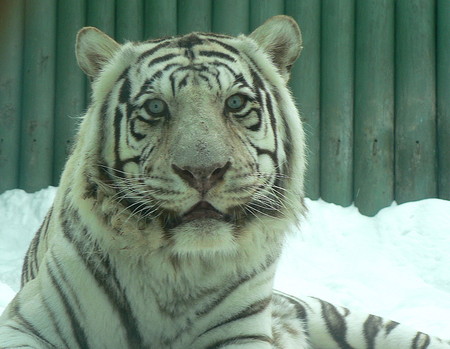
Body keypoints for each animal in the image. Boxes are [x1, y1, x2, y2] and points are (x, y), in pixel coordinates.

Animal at [0, 15, 450, 348]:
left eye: (235, 103)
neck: (177, 273)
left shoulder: (240, 330)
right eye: (156, 108)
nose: (204, 171)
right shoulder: (28, 322)